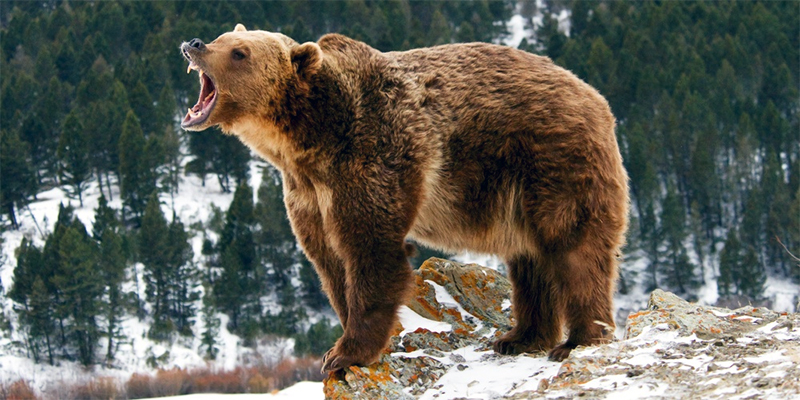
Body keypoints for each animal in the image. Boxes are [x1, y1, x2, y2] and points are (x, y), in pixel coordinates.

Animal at [180, 24, 629, 373]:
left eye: (240, 52)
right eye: (224, 37)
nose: (195, 43)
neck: (309, 139)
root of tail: (596, 97)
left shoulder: (373, 155)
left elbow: (372, 250)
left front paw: (345, 354)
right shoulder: (307, 193)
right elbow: (329, 262)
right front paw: (341, 343)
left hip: (552, 160)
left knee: (573, 247)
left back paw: (577, 340)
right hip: (516, 191)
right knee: (530, 259)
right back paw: (520, 336)